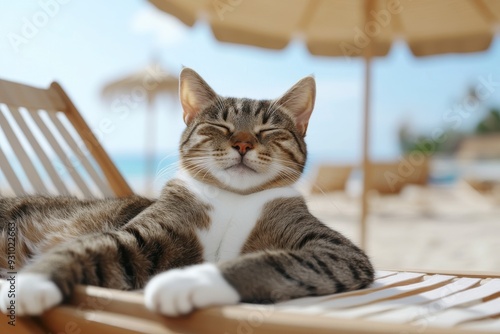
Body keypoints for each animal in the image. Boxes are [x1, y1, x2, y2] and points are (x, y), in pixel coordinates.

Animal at [0, 67, 374, 316]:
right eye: (220, 125)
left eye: (268, 129)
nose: (242, 143)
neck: (233, 199)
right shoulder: (144, 234)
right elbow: (87, 246)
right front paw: (34, 282)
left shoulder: (337, 252)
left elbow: (271, 262)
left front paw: (190, 282)